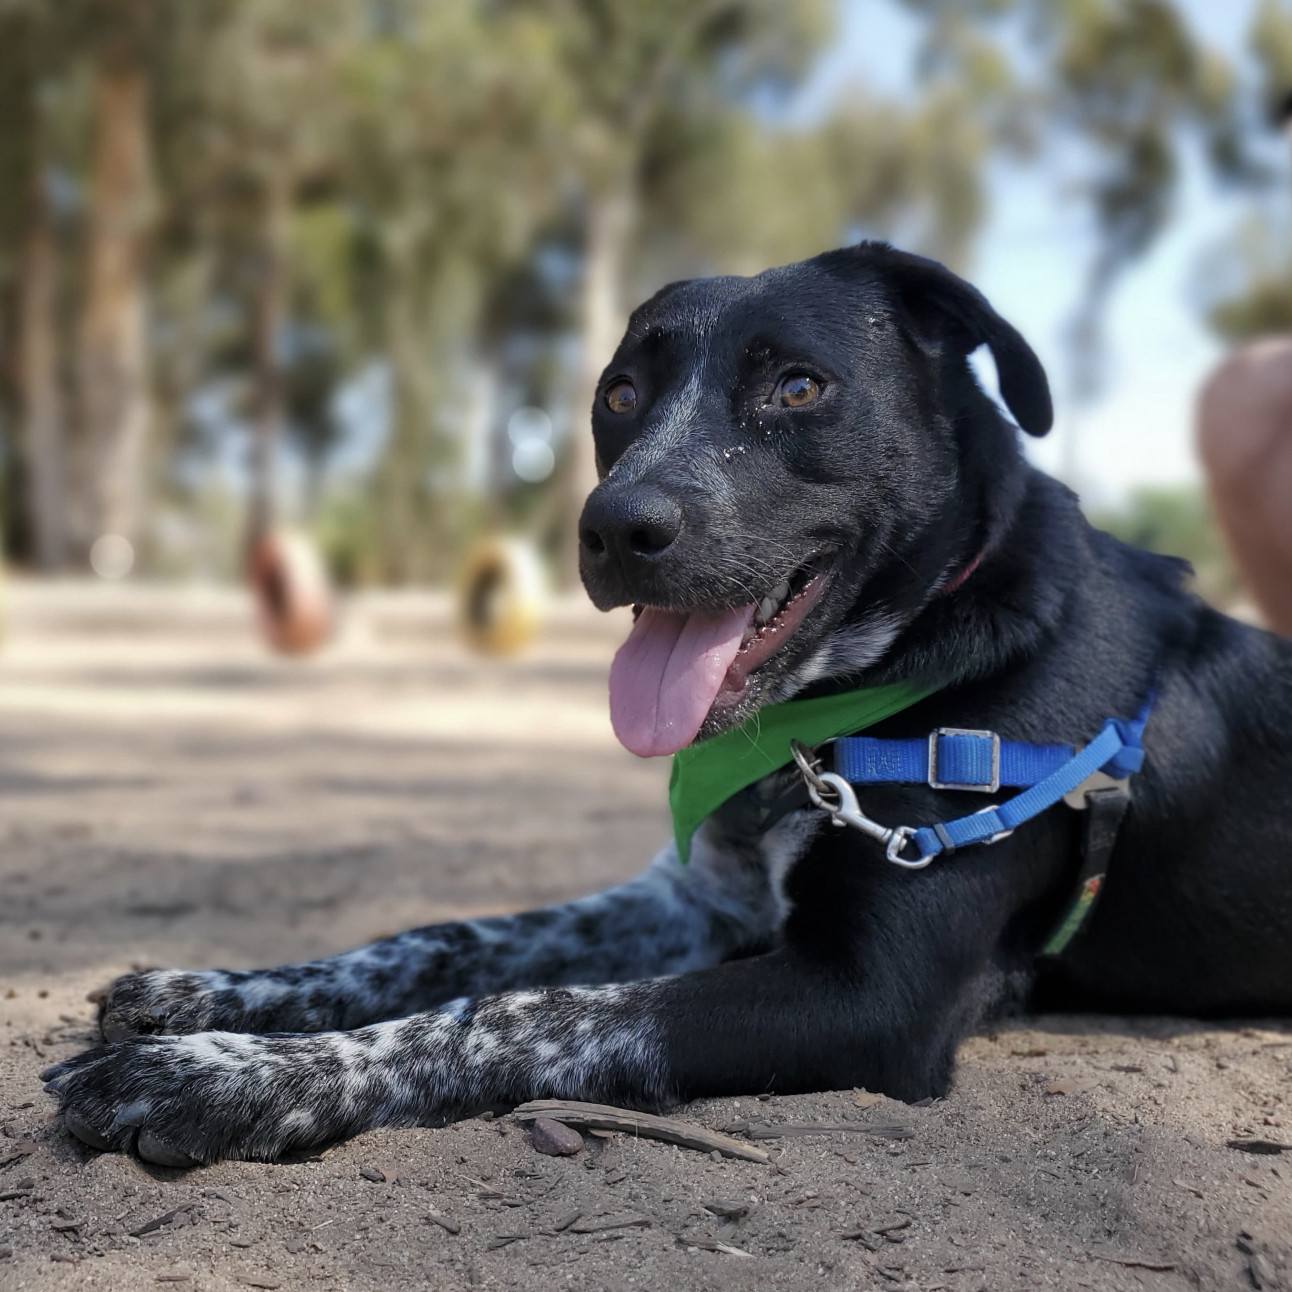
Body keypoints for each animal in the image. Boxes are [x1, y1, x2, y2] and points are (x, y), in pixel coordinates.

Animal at [40, 242, 1292, 1173]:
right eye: (619, 393)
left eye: (797, 385)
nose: (612, 526)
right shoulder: (695, 898)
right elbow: (450, 937)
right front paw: (221, 993)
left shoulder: (866, 996)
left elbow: (521, 1010)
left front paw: (226, 1074)